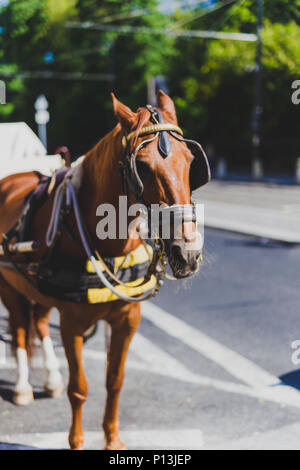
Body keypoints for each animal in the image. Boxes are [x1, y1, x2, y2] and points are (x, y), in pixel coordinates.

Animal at [0, 91, 204, 448]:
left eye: (191, 161)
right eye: (143, 167)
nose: (188, 252)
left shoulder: (127, 320)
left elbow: (115, 381)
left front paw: (112, 440)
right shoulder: (72, 325)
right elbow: (79, 389)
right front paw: (77, 441)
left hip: (36, 289)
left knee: (38, 323)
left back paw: (50, 378)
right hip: (9, 287)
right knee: (21, 331)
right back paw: (24, 386)